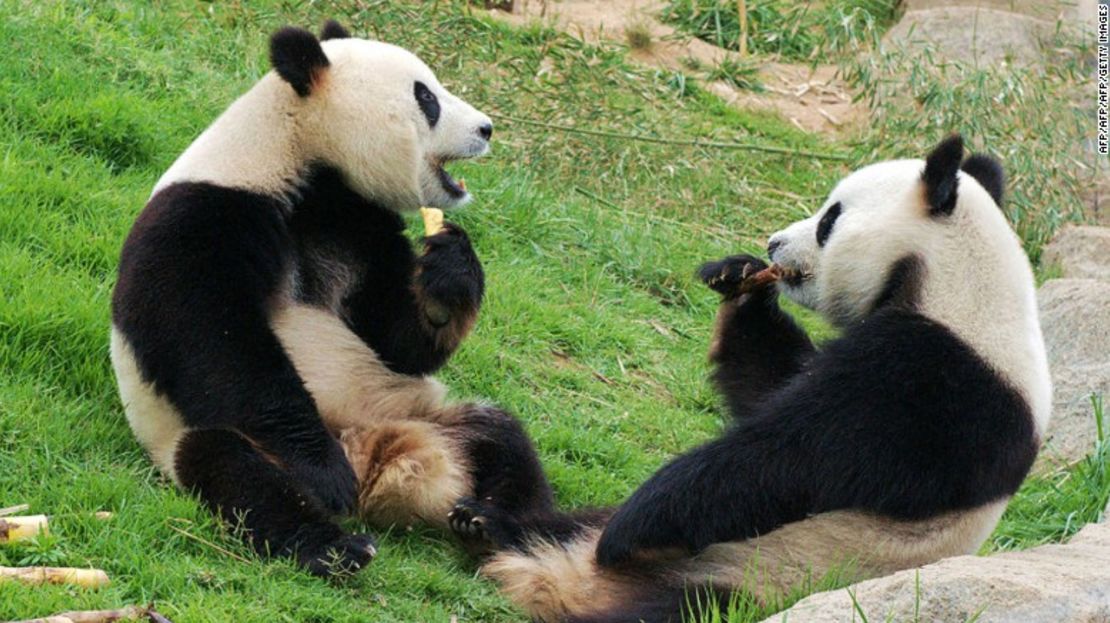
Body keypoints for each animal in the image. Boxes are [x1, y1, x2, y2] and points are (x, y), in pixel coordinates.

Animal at [108, 20, 550, 577]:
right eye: (426, 97)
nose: (487, 128)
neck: (299, 158)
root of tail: (374, 454)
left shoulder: (359, 221)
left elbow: (396, 341)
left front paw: (447, 276)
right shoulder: (205, 213)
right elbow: (210, 335)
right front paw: (322, 472)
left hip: (411, 408)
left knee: (503, 438)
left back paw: (489, 524)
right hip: (198, 433)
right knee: (240, 473)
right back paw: (334, 545)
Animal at [446, 137, 1052, 621]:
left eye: (830, 218)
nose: (773, 244)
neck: (962, 286)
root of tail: (563, 575)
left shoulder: (940, 383)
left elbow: (792, 455)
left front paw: (634, 529)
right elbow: (771, 385)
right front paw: (738, 280)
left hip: (746, 581)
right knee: (534, 498)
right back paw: (487, 508)